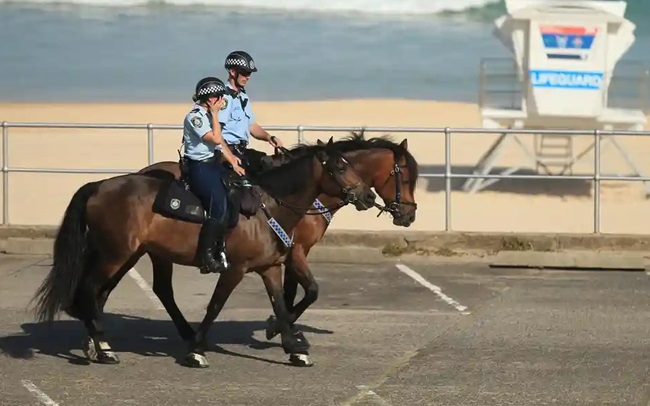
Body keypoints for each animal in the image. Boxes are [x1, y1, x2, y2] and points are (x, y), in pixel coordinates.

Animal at [30, 138, 374, 370]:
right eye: (340, 167)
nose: (367, 196)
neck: (267, 208)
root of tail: (99, 185)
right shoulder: (235, 269)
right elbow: (215, 306)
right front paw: (196, 351)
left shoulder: (271, 268)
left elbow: (281, 304)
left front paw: (293, 348)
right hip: (116, 253)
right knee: (91, 288)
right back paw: (103, 347)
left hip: (129, 253)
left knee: (108, 291)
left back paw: (97, 341)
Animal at [139, 131, 418, 364]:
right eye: (404, 177)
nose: (409, 215)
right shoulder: (295, 251)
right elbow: (307, 291)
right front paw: (280, 329)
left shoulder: (286, 253)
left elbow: (291, 293)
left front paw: (287, 332)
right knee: (164, 290)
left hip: (158, 252)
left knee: (162, 289)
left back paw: (189, 334)